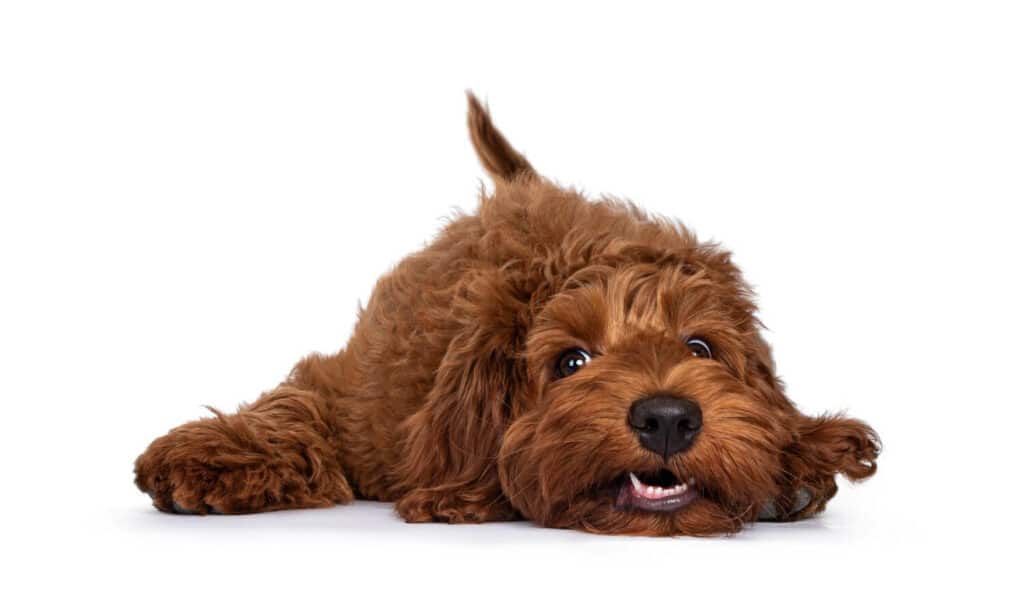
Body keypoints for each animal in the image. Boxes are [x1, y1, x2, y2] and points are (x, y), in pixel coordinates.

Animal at [132, 94, 876, 536]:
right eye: (571, 359)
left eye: (700, 348)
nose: (668, 417)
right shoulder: (356, 398)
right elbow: (292, 408)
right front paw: (206, 462)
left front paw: (799, 461)